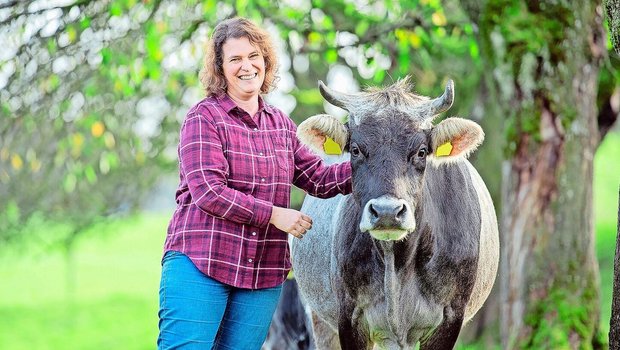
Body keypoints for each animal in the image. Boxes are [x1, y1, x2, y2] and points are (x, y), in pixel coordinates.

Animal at [290, 77, 498, 350]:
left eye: (421, 151)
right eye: (355, 149)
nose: (387, 211)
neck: (397, 262)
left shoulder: (451, 317)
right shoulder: (348, 316)